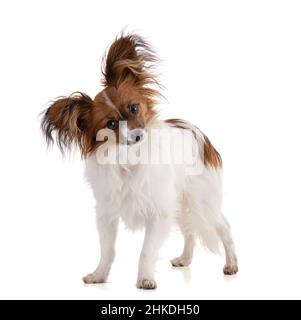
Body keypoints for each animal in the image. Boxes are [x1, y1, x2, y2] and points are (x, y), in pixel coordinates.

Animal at [41, 33, 237, 290]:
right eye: (111, 124)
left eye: (134, 108)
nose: (136, 136)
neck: (127, 158)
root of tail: (198, 133)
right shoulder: (107, 214)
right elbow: (107, 250)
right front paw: (99, 275)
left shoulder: (158, 212)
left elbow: (146, 251)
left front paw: (145, 279)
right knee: (189, 232)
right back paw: (185, 259)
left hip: (201, 201)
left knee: (223, 227)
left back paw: (232, 264)